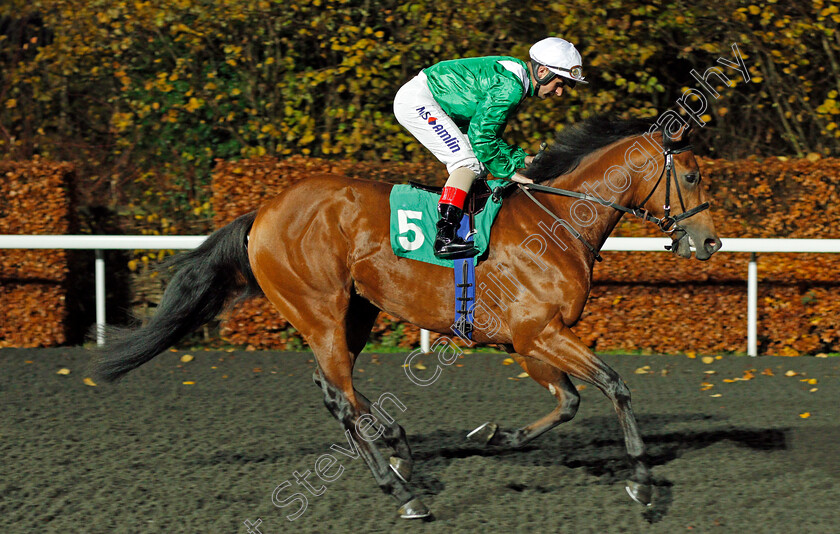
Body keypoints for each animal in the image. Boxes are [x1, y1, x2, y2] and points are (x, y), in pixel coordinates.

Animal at [93, 118, 720, 524]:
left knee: (334, 388)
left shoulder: (529, 340)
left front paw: (495, 434)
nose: (709, 241)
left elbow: (567, 401)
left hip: (357, 310)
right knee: (339, 394)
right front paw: (642, 483)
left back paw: (396, 447)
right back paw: (400, 489)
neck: (558, 221)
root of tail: (262, 212)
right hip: (320, 308)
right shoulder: (537, 332)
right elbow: (613, 385)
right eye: (691, 177)